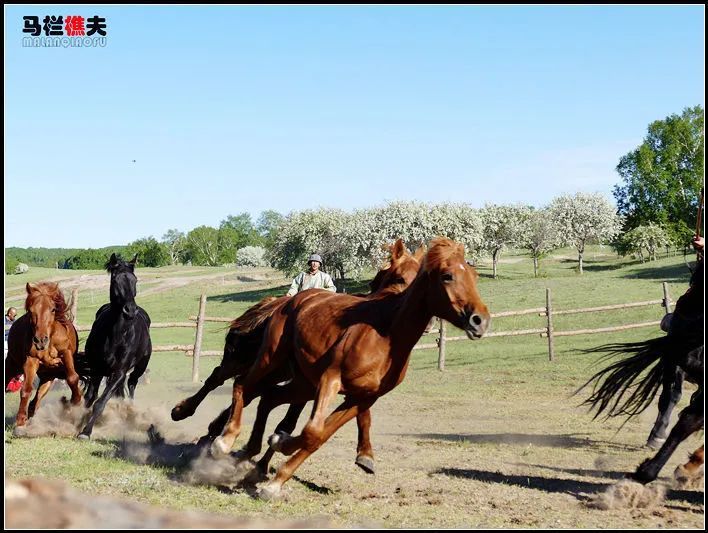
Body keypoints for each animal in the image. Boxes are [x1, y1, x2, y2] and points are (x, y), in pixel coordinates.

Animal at [4, 280, 82, 426]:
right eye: (30, 311)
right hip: (12, 366)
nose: (40, 340)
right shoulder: (30, 360)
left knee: (36, 400)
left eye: (53, 309)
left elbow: (73, 378)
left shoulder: (66, 353)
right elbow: (26, 389)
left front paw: (76, 401)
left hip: (48, 377)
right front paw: (20, 420)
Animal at [79, 252, 152, 436]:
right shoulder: (96, 368)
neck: (116, 335)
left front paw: (86, 431)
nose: (130, 310)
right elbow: (89, 398)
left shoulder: (119, 371)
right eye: (115, 280)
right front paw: (77, 422)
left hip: (139, 367)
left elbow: (100, 402)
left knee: (132, 384)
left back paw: (131, 413)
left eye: (135, 280)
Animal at [207, 238, 490, 498]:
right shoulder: (331, 380)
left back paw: (251, 450)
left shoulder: (363, 397)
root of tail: (293, 300)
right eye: (447, 276)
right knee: (241, 385)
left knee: (268, 397)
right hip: (270, 360)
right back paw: (223, 441)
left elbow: (318, 436)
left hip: (301, 383)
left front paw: (277, 469)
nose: (480, 320)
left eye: (475, 275)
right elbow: (312, 430)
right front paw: (274, 467)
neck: (386, 335)